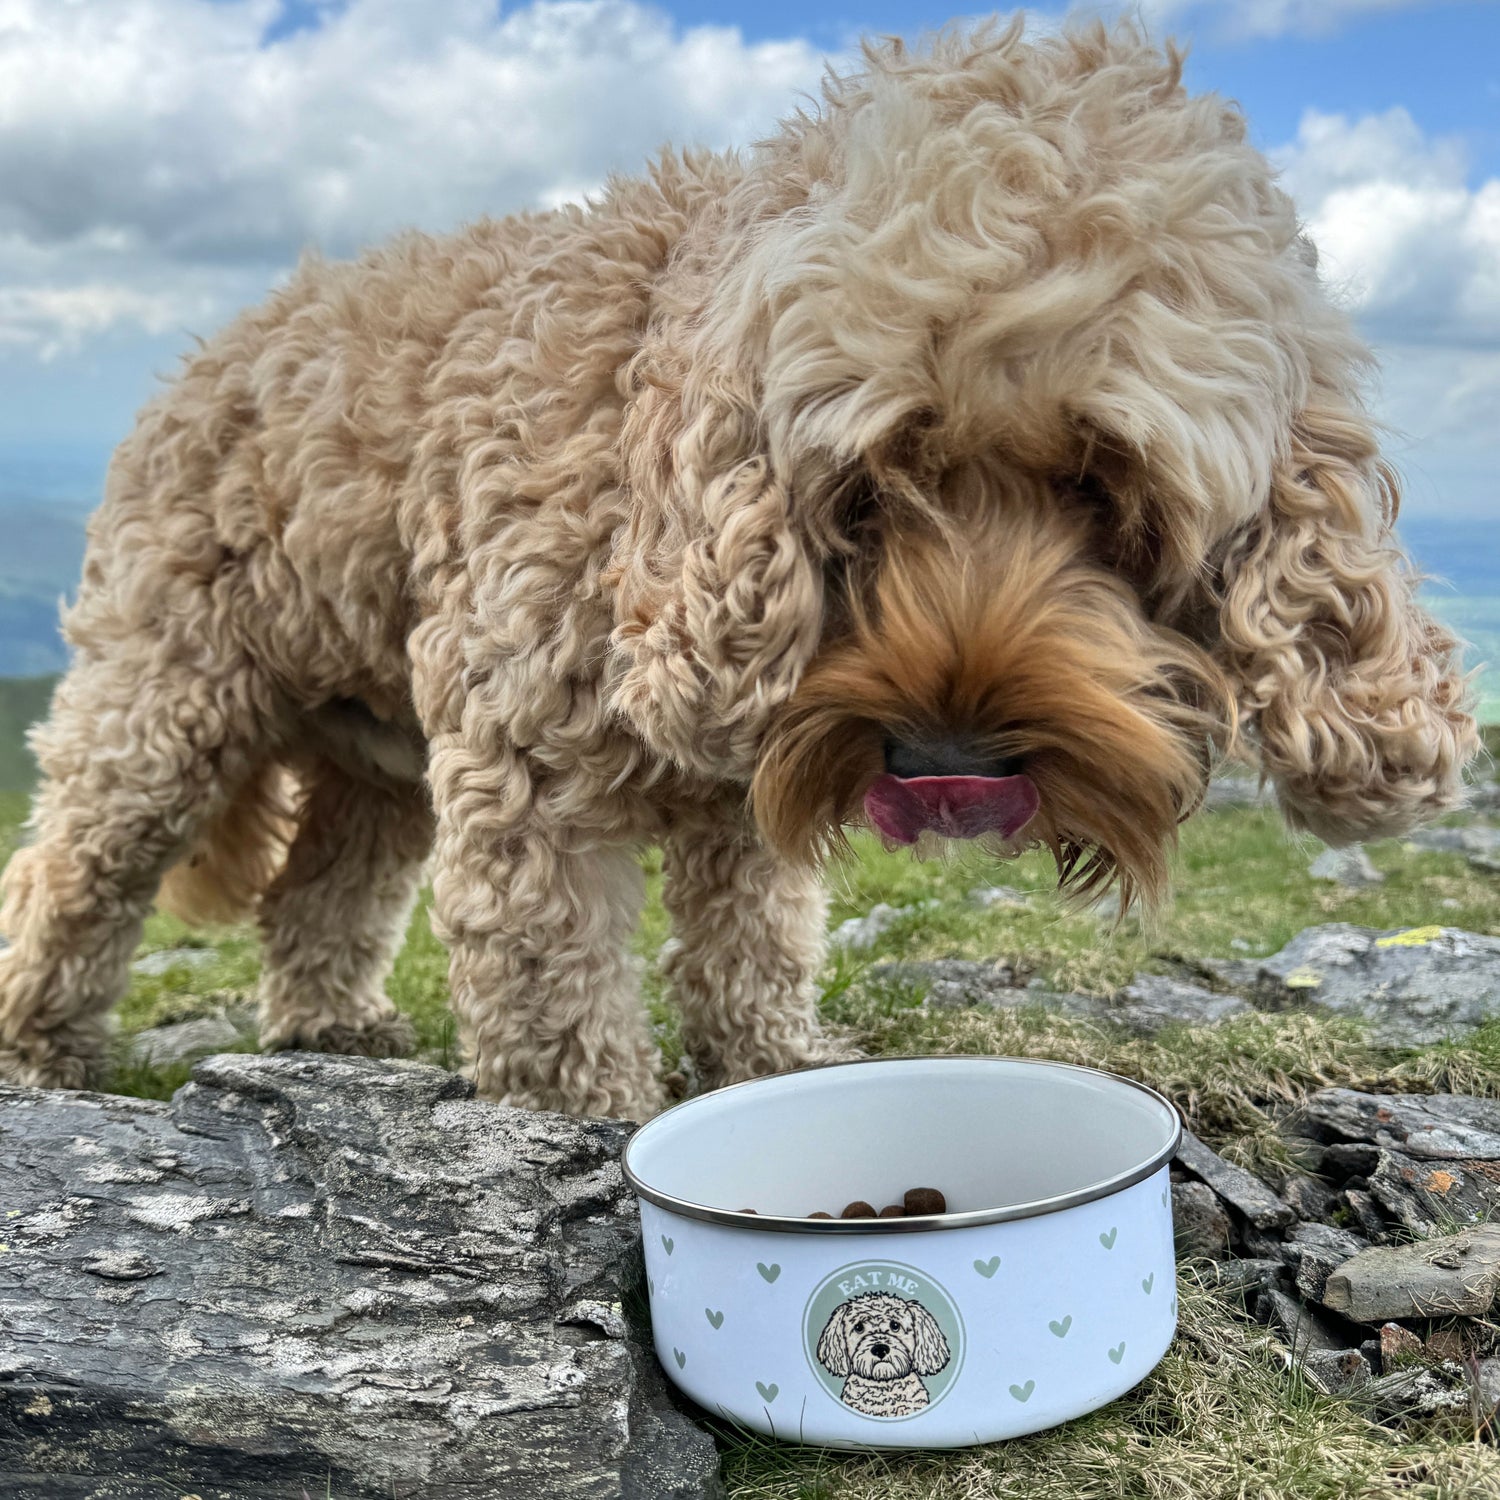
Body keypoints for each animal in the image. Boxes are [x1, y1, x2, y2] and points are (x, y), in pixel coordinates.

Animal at [0, 17, 1476, 1122]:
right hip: (166, 690)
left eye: (1107, 488)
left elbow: (754, 941)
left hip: (373, 746)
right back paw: (42, 1046)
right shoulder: (526, 762)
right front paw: (594, 1126)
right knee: (73, 868)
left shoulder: (744, 794)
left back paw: (329, 1028)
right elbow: (553, 985)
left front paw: (771, 1068)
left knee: (327, 883)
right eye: (873, 482)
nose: (947, 761)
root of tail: (208, 349)